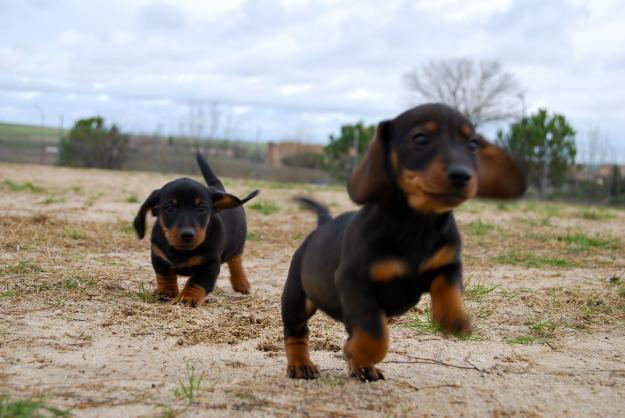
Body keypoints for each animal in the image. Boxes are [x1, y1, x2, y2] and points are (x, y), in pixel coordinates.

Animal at [133, 152, 258, 306]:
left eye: (201, 208)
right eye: (170, 208)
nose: (187, 234)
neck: (182, 251)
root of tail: (219, 190)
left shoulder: (209, 265)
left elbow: (196, 282)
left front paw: (188, 297)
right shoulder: (159, 257)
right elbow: (165, 276)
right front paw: (166, 291)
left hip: (237, 243)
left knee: (236, 260)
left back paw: (241, 282)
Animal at [280, 103, 524, 382]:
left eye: (473, 144)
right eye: (420, 138)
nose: (462, 175)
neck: (417, 223)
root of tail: (322, 225)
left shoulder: (447, 265)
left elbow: (449, 290)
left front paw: (453, 318)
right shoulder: (354, 282)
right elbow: (375, 335)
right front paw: (358, 353)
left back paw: (361, 368)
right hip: (296, 299)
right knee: (297, 333)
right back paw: (302, 364)